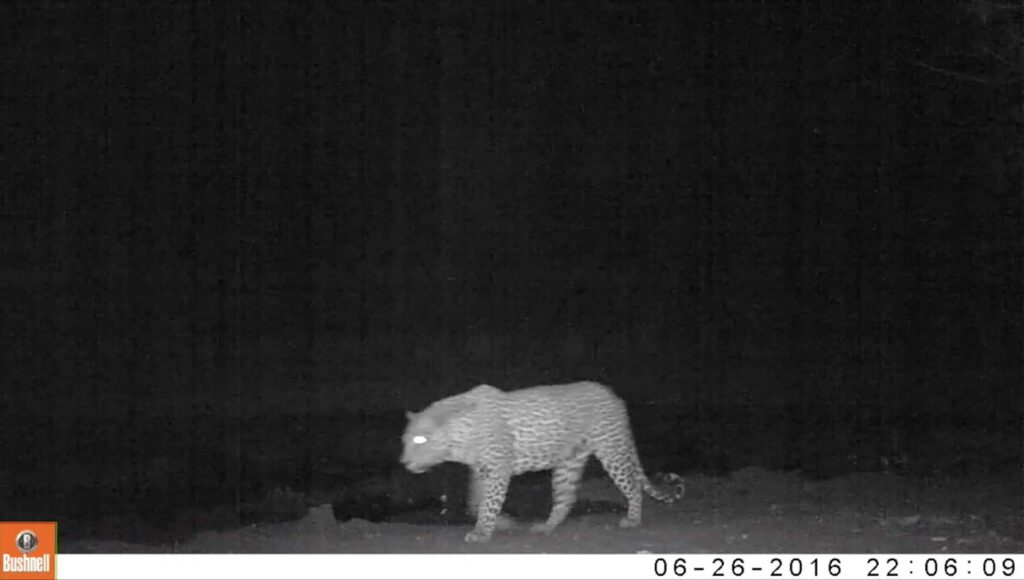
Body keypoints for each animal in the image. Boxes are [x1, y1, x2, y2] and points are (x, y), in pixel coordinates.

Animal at [400, 381, 685, 543]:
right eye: (406, 440)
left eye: (420, 440)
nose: (403, 462)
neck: (459, 436)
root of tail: (614, 396)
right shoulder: (482, 471)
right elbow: (475, 502)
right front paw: (499, 523)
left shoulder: (499, 470)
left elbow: (488, 503)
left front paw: (482, 533)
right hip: (568, 464)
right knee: (565, 498)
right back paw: (546, 527)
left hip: (612, 449)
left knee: (633, 486)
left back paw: (632, 520)